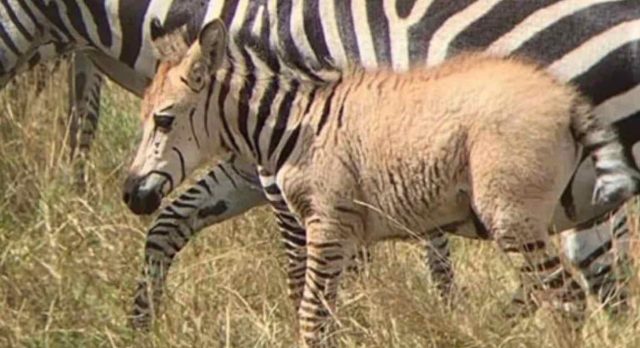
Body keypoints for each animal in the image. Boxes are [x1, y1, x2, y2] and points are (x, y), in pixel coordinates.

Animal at [1, 0, 636, 326]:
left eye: (160, 119)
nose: (129, 195)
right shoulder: (253, 160)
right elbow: (171, 223)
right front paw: (140, 324)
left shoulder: (291, 160)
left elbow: (299, 267)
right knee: (598, 281)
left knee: (595, 278)